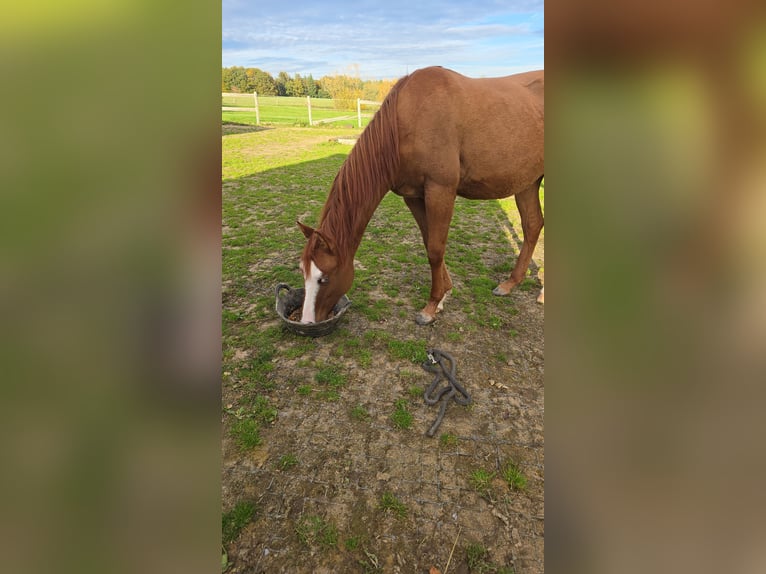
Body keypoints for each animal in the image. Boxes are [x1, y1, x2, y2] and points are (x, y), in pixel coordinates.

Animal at [298, 66, 544, 325]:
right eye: (303, 271)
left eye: (324, 278)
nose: (307, 322)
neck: (407, 121)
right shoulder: (414, 196)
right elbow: (429, 242)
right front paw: (444, 295)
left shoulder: (440, 190)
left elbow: (436, 249)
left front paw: (431, 306)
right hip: (527, 183)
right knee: (532, 226)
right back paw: (510, 284)